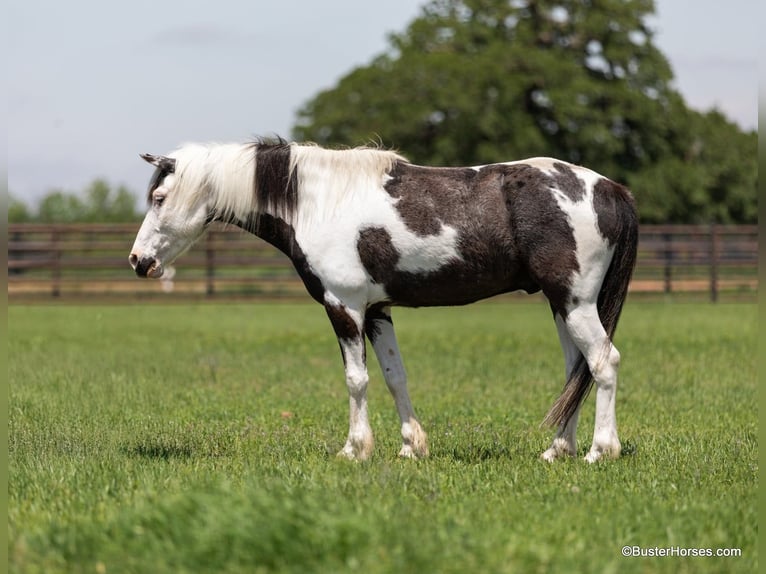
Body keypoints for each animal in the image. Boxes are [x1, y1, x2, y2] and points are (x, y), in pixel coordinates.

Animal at [129, 139, 638, 463]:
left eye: (160, 197)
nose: (138, 260)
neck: (316, 202)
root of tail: (611, 189)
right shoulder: (377, 311)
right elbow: (395, 376)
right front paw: (412, 447)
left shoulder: (344, 307)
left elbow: (356, 379)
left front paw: (354, 450)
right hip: (561, 305)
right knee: (576, 371)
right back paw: (557, 450)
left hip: (575, 303)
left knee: (604, 362)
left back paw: (600, 451)